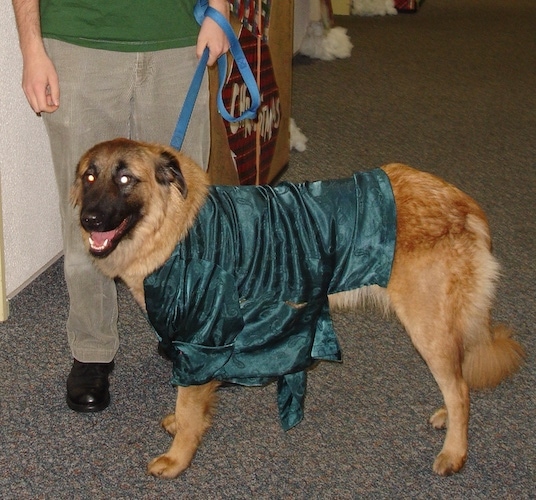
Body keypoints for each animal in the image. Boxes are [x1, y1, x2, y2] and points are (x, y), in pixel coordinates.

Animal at [71, 138, 524, 480]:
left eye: (125, 178)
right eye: (89, 176)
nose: (88, 220)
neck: (176, 227)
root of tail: (463, 203)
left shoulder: (203, 339)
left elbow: (188, 407)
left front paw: (177, 457)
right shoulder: (203, 344)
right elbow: (190, 398)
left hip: (427, 328)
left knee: (460, 389)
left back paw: (454, 451)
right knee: (459, 381)